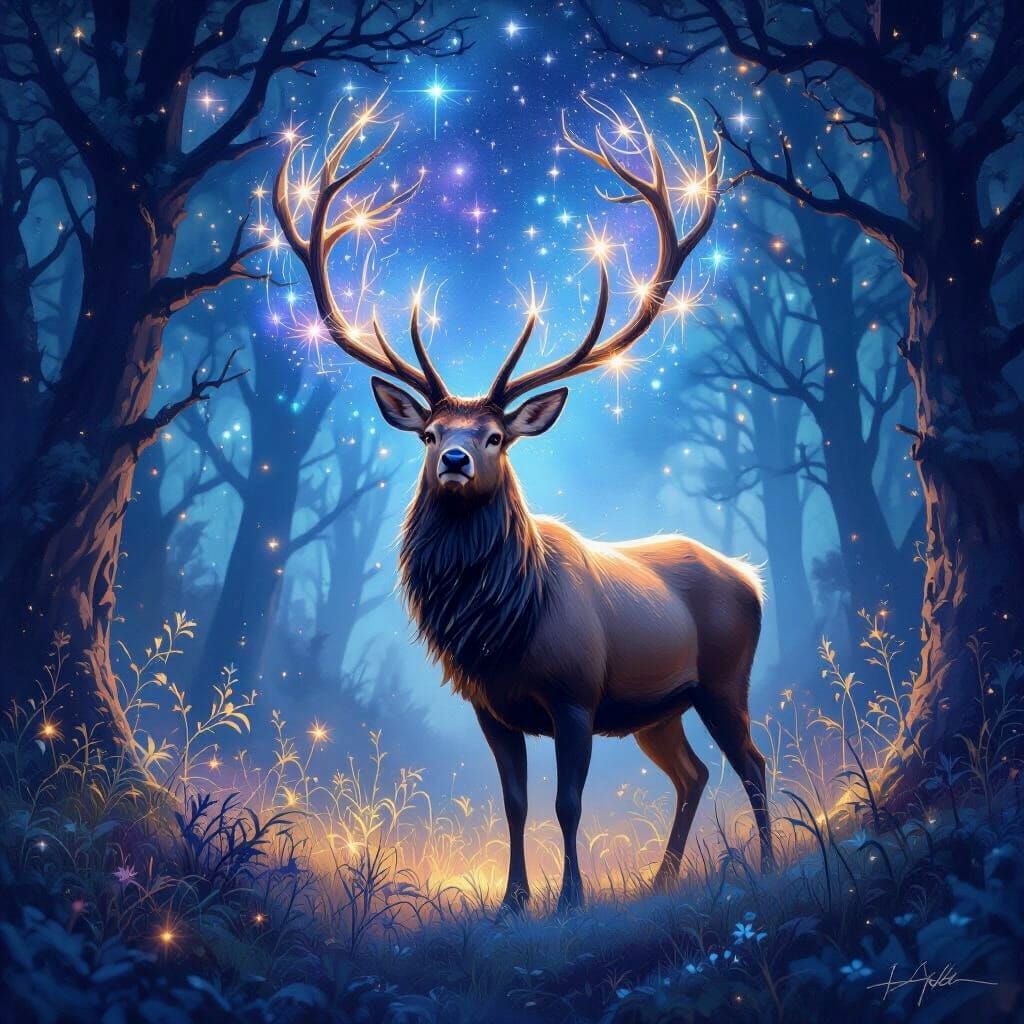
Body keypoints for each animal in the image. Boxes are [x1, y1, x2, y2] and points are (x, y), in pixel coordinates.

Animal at [274, 95, 772, 914]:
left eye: (497, 435)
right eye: (431, 432)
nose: (454, 461)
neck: (504, 624)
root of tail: (751, 576)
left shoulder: (576, 697)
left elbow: (568, 805)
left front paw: (569, 900)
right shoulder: (491, 708)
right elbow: (515, 804)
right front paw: (513, 902)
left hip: (725, 679)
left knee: (753, 764)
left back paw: (760, 864)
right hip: (659, 709)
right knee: (695, 773)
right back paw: (662, 879)